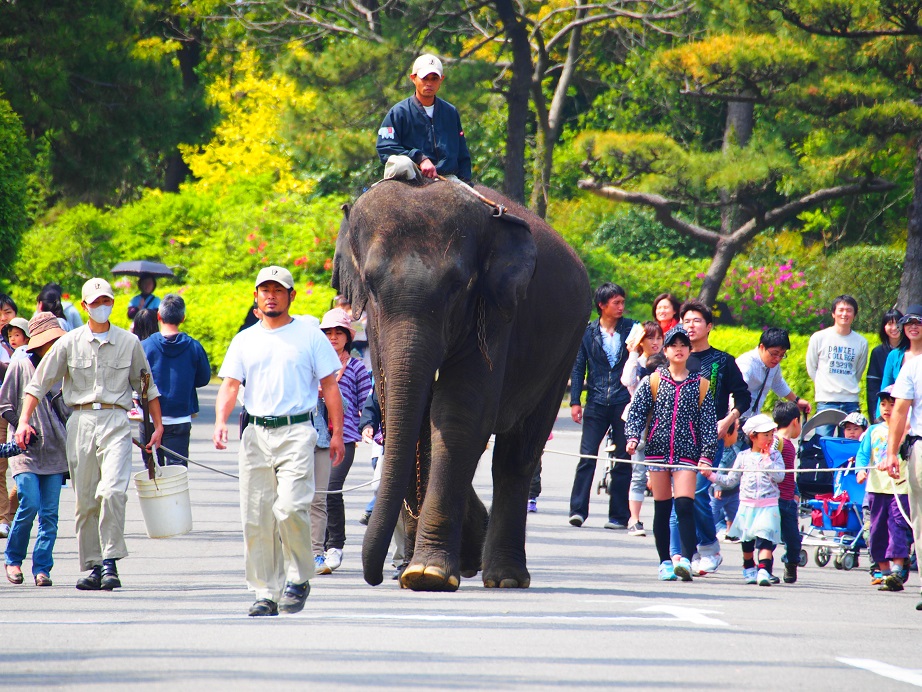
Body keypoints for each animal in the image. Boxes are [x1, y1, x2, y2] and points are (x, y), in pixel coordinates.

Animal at [332, 178, 588, 588]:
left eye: (458, 286)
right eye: (370, 285)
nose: (374, 576)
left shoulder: (496, 312)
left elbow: (460, 416)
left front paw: (427, 574)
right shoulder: (375, 329)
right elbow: (401, 412)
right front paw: (423, 569)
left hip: (568, 347)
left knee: (518, 455)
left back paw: (505, 578)